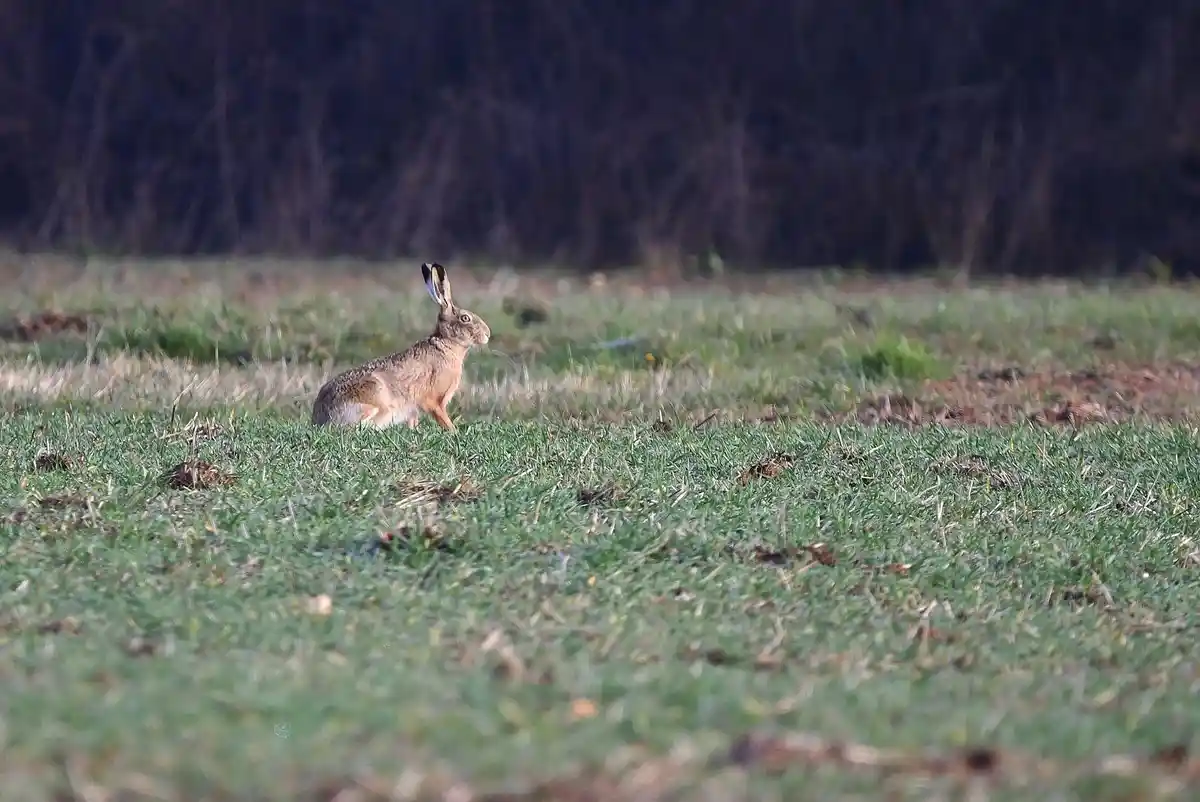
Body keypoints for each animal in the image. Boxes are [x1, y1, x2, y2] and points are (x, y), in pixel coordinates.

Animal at [311, 262, 491, 431]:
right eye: (465, 318)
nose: (487, 334)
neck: (446, 344)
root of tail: (321, 416)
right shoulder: (434, 400)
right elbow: (441, 416)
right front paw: (453, 431)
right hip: (374, 398)